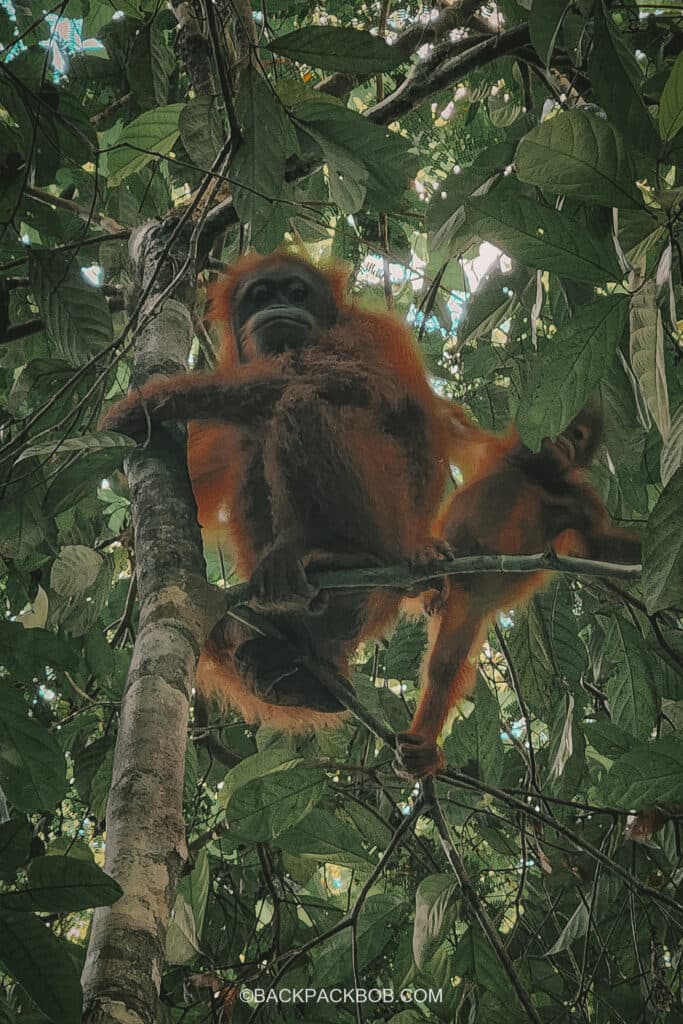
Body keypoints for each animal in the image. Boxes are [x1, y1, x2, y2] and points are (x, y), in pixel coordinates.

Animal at [102, 251, 457, 731]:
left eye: (297, 291)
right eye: (261, 295)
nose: (279, 306)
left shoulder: (369, 332)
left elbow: (352, 380)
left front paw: (149, 402)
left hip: (390, 525)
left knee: (301, 401)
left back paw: (336, 557)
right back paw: (293, 671)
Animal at [395, 404, 642, 779]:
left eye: (580, 435)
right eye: (571, 427)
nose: (567, 439)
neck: (536, 475)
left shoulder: (582, 504)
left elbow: (601, 544)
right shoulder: (491, 450)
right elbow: (446, 422)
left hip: (469, 607)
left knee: (444, 666)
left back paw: (423, 751)